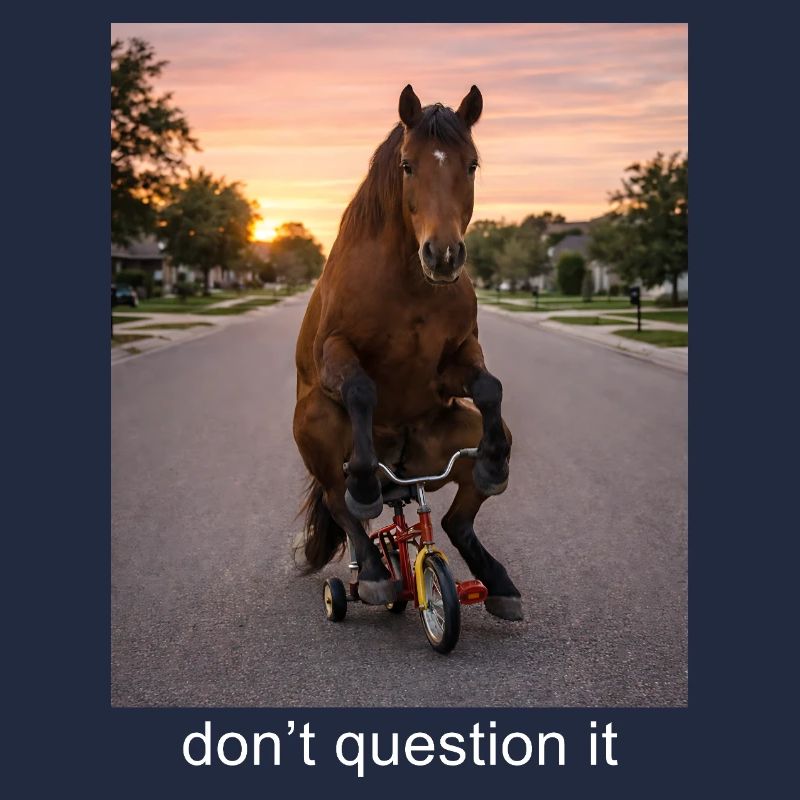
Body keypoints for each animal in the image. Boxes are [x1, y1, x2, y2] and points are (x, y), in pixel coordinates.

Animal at [293, 84, 522, 621]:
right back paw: (376, 573)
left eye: (471, 164)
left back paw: (497, 580)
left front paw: (495, 463)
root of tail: (401, 474)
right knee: (340, 504)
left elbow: (489, 386)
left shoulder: (456, 357)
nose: (443, 254)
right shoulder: (335, 350)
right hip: (317, 424)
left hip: (448, 449)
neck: (409, 282)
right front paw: (361, 482)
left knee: (458, 520)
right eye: (407, 165)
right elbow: (360, 389)